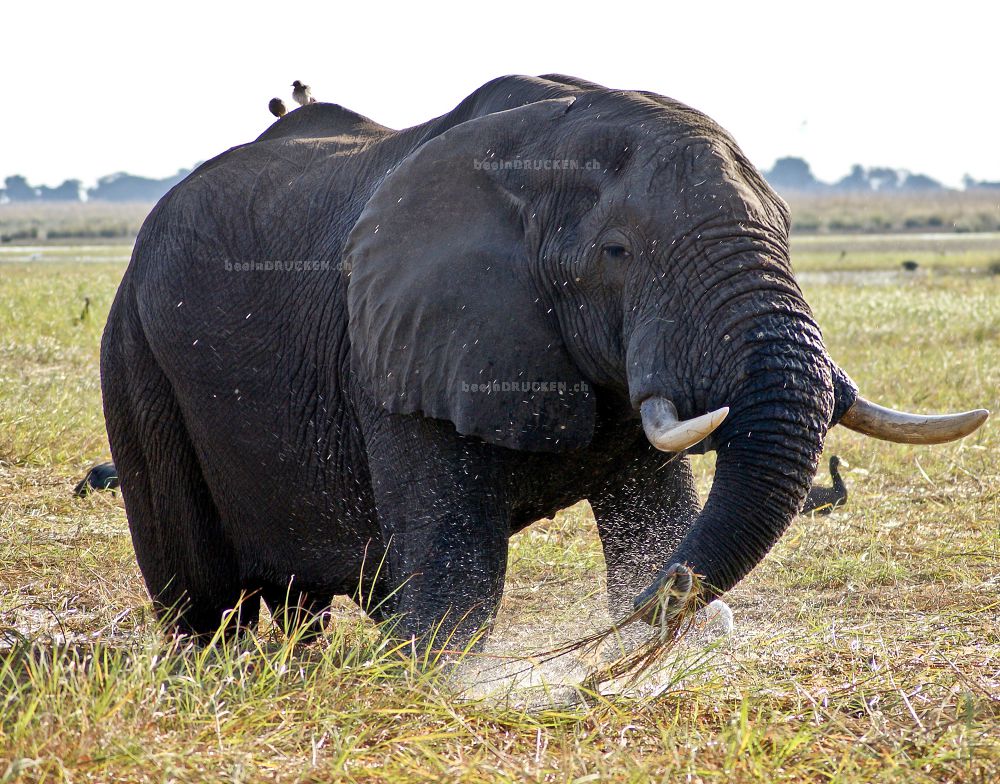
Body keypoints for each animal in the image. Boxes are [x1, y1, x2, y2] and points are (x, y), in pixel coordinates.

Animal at [97, 73, 988, 648]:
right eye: (617, 252)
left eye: (788, 230)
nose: (600, 649)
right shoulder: (397, 344)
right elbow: (458, 592)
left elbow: (651, 525)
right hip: (135, 355)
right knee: (201, 600)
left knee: (295, 600)